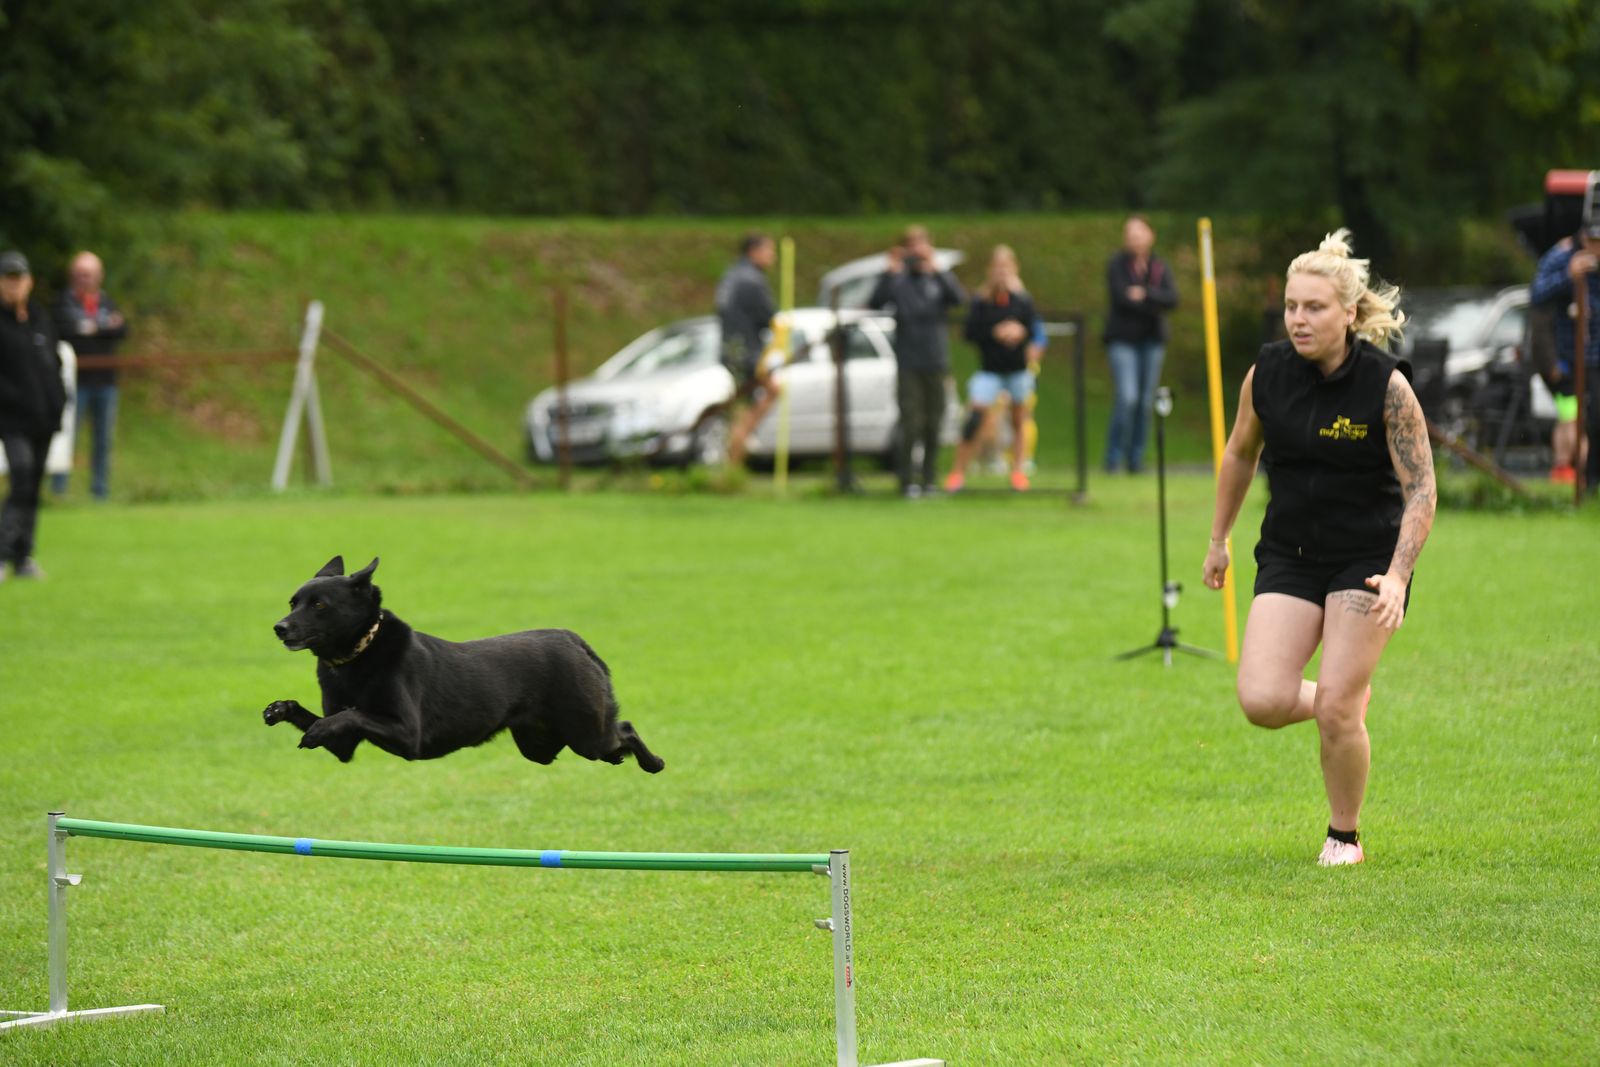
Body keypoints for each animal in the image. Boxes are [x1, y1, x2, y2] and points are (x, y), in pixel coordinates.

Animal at [263, 555, 664, 772]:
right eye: (292, 603)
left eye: (319, 605)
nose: (279, 628)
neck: (357, 655)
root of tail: (571, 638)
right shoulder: (344, 748)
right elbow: (329, 717)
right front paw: (280, 709)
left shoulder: (408, 735)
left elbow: (350, 714)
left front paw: (315, 728)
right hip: (542, 746)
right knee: (611, 743)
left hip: (586, 734)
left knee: (625, 728)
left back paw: (653, 763)